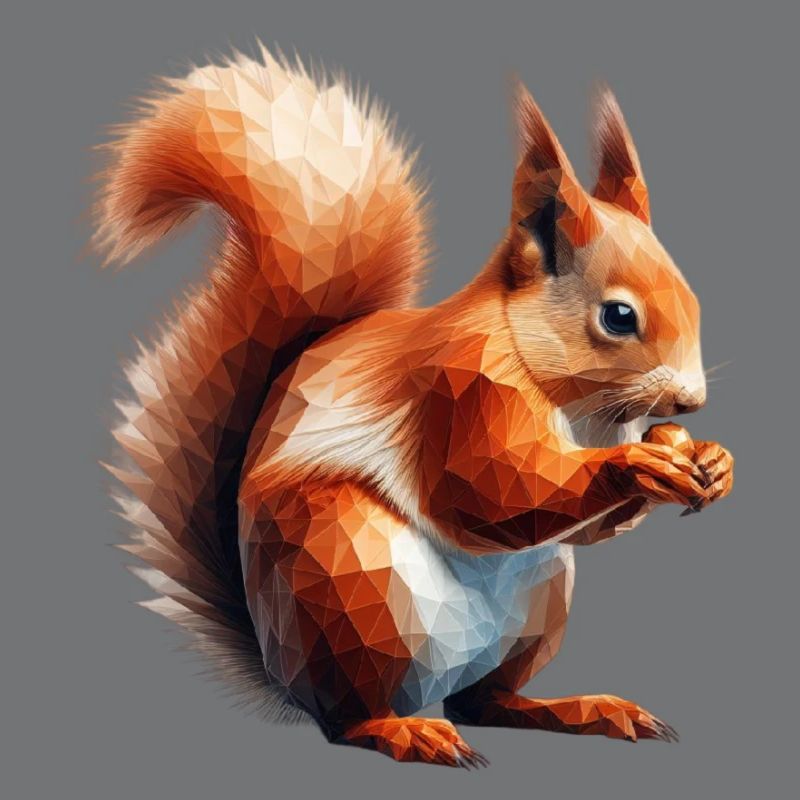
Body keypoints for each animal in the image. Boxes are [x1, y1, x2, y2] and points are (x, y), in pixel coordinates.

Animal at [94, 47, 733, 767]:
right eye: (619, 317)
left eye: (692, 296)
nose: (691, 401)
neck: (575, 399)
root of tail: (277, 664)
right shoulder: (458, 387)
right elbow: (490, 489)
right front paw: (639, 465)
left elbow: (581, 530)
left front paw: (712, 460)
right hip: (348, 577)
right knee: (350, 716)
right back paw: (404, 730)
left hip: (541, 603)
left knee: (483, 702)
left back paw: (576, 709)